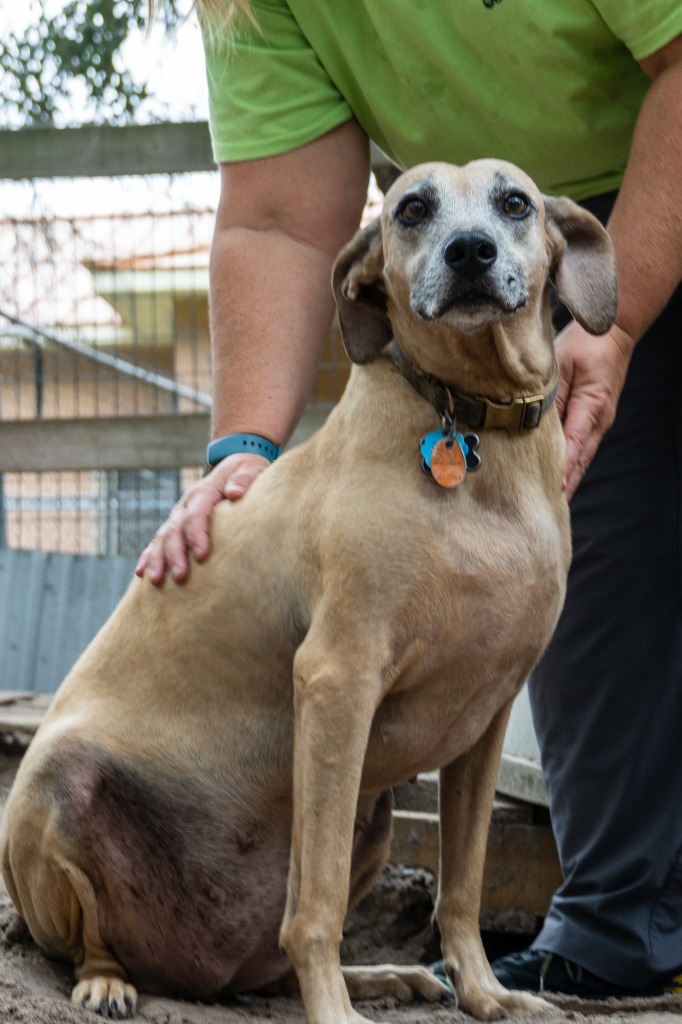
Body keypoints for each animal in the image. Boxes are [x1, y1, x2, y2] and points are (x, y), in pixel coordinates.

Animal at [0, 159, 614, 1024]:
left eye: (515, 202)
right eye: (411, 208)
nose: (470, 251)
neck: (473, 430)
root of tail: (199, 971)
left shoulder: (487, 720)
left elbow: (460, 887)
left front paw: (486, 993)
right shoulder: (336, 682)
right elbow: (315, 905)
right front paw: (336, 1011)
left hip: (374, 817)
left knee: (274, 967)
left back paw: (386, 975)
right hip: (60, 783)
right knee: (97, 940)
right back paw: (108, 981)